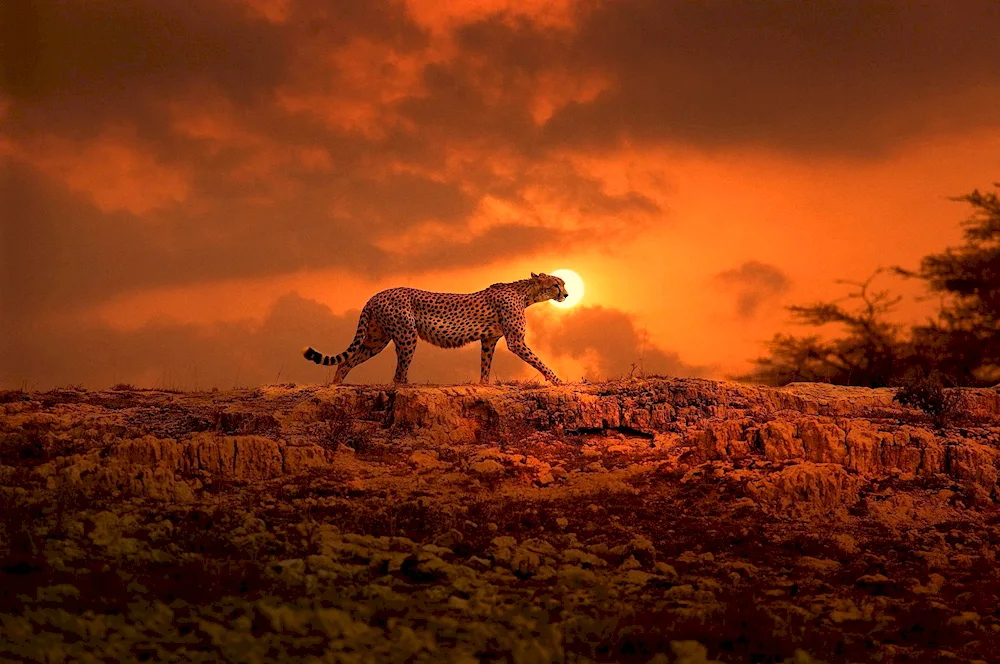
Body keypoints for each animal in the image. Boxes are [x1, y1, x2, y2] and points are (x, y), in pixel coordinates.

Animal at [302, 270, 572, 384]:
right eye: (556, 284)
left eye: (563, 284)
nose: (567, 295)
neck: (526, 293)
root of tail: (376, 294)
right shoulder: (516, 341)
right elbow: (538, 361)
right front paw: (557, 381)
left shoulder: (489, 340)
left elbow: (485, 365)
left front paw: (484, 385)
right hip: (407, 335)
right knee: (398, 375)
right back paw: (407, 386)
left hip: (375, 340)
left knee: (346, 362)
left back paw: (335, 387)